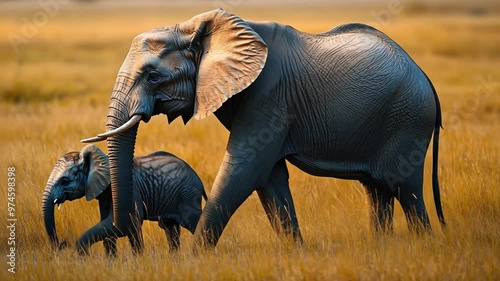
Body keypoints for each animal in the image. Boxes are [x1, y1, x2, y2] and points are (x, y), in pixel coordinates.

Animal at [42, 144, 206, 256]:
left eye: (64, 181)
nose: (62, 243)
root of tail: (198, 178)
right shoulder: (104, 194)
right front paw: (112, 262)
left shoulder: (129, 191)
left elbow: (129, 222)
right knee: (170, 227)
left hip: (188, 196)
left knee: (193, 223)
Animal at [82, 8, 446, 245]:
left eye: (153, 76)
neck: (194, 24)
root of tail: (427, 78)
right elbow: (270, 177)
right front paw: (294, 251)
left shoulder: (268, 95)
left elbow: (246, 169)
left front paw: (195, 258)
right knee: (377, 189)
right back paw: (382, 245)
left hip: (408, 119)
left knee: (405, 188)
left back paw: (424, 244)